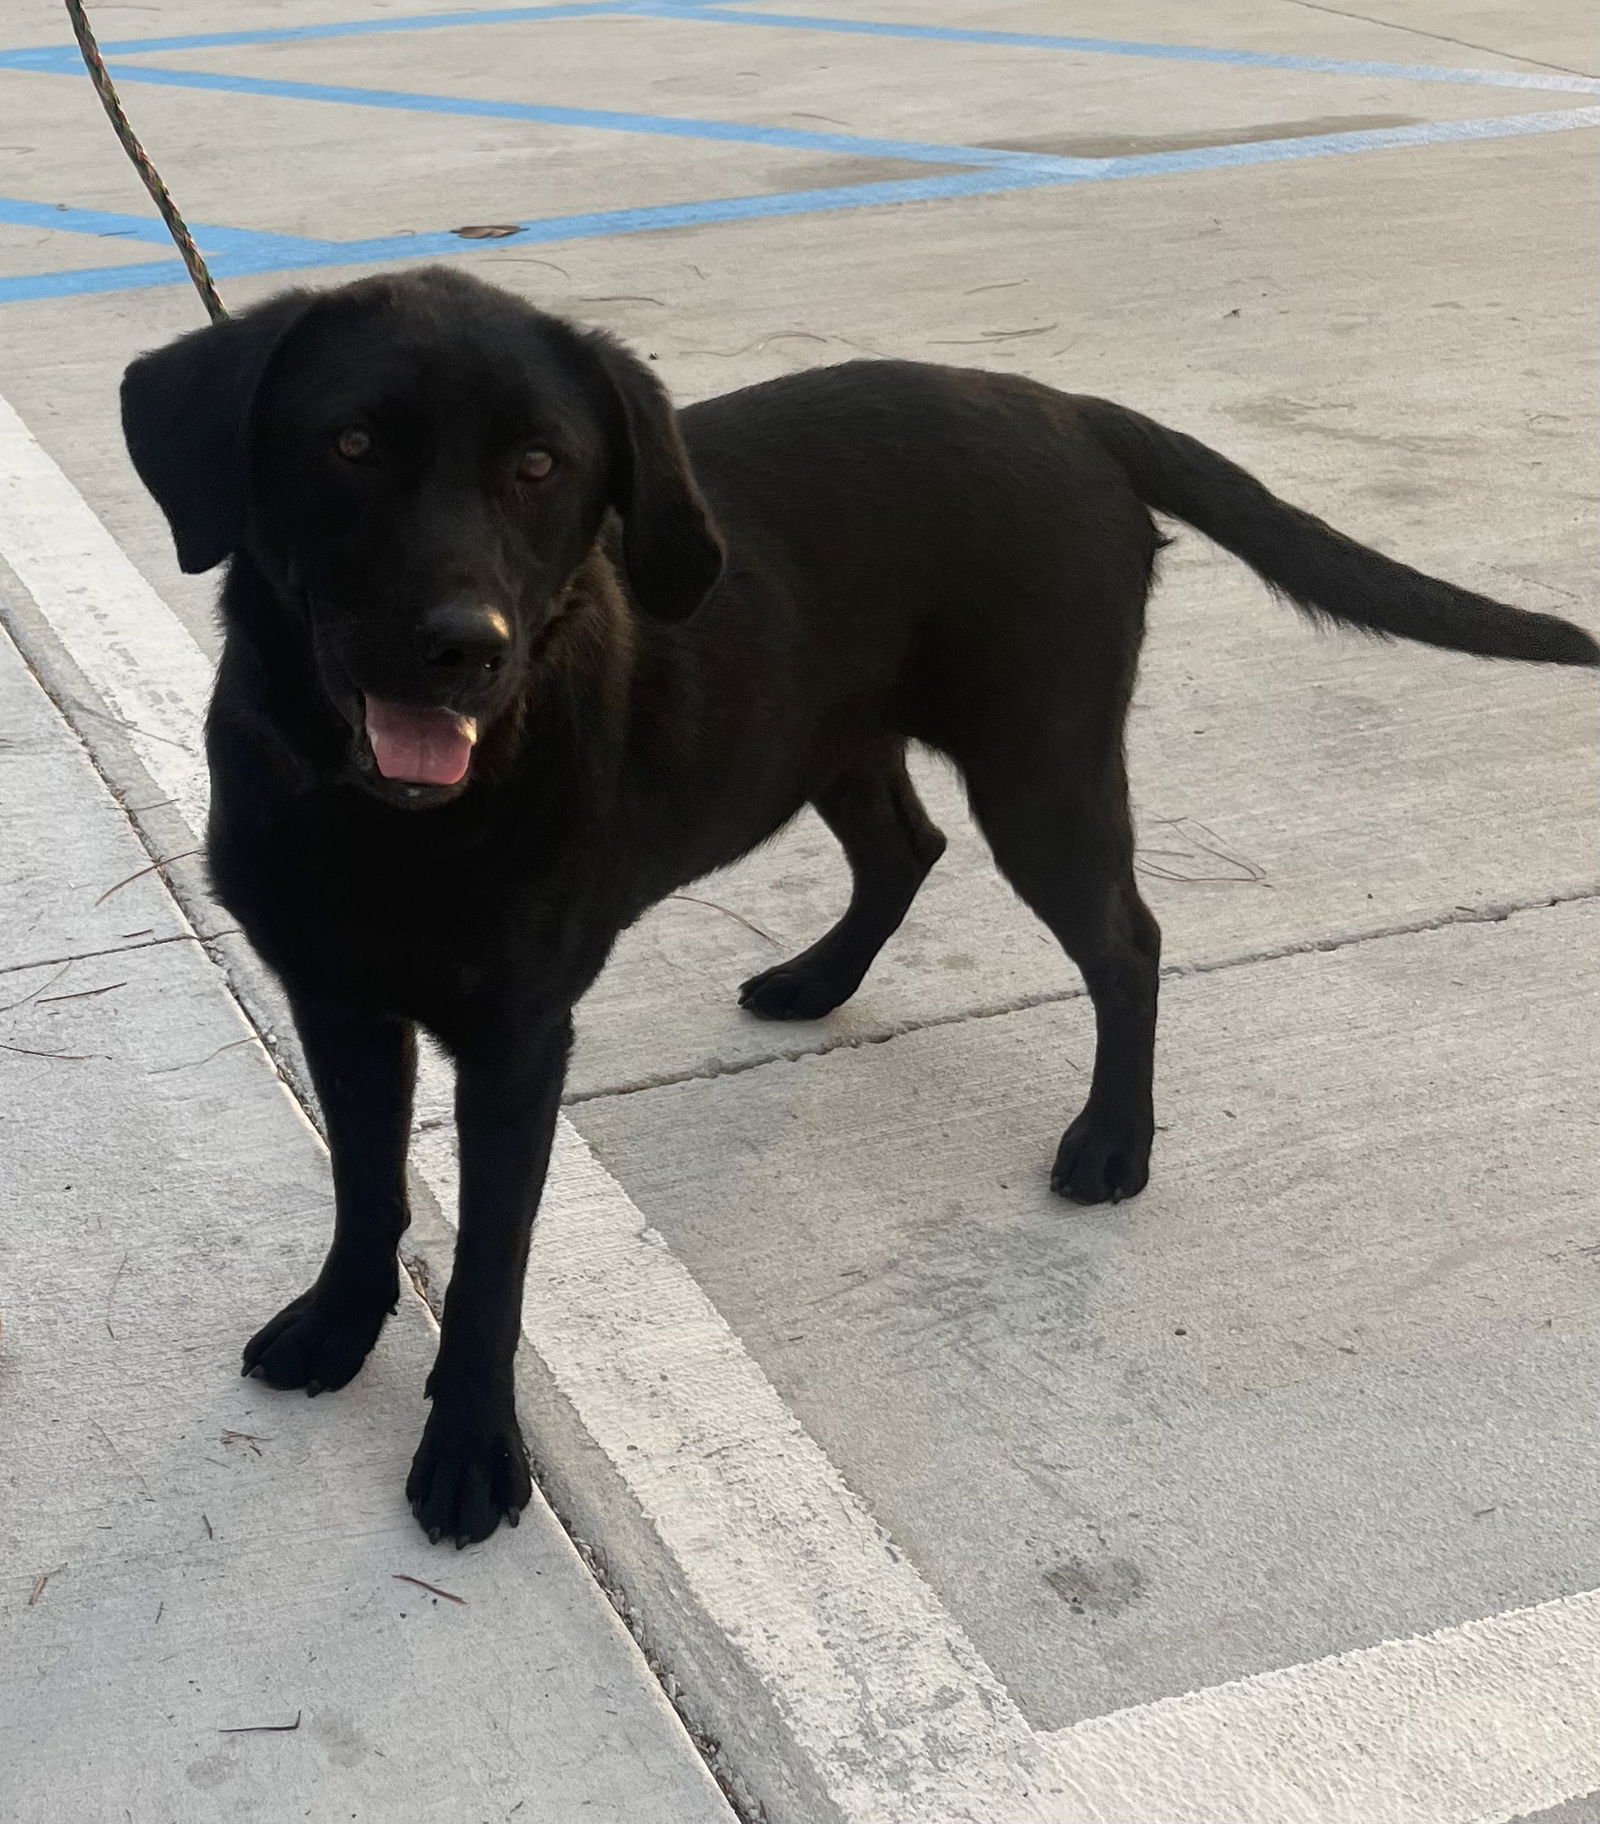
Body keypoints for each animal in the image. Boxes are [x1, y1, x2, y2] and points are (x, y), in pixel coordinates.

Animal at [124, 264, 1598, 1539]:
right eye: (351, 444)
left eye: (541, 466)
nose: (461, 651)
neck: (382, 816)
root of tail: (1070, 410)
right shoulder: (336, 999)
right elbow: (366, 1184)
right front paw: (337, 1326)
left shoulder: (517, 1039)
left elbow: (491, 1262)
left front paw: (472, 1451)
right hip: (832, 735)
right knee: (906, 849)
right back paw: (815, 982)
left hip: (1042, 761)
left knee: (1126, 939)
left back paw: (1112, 1142)